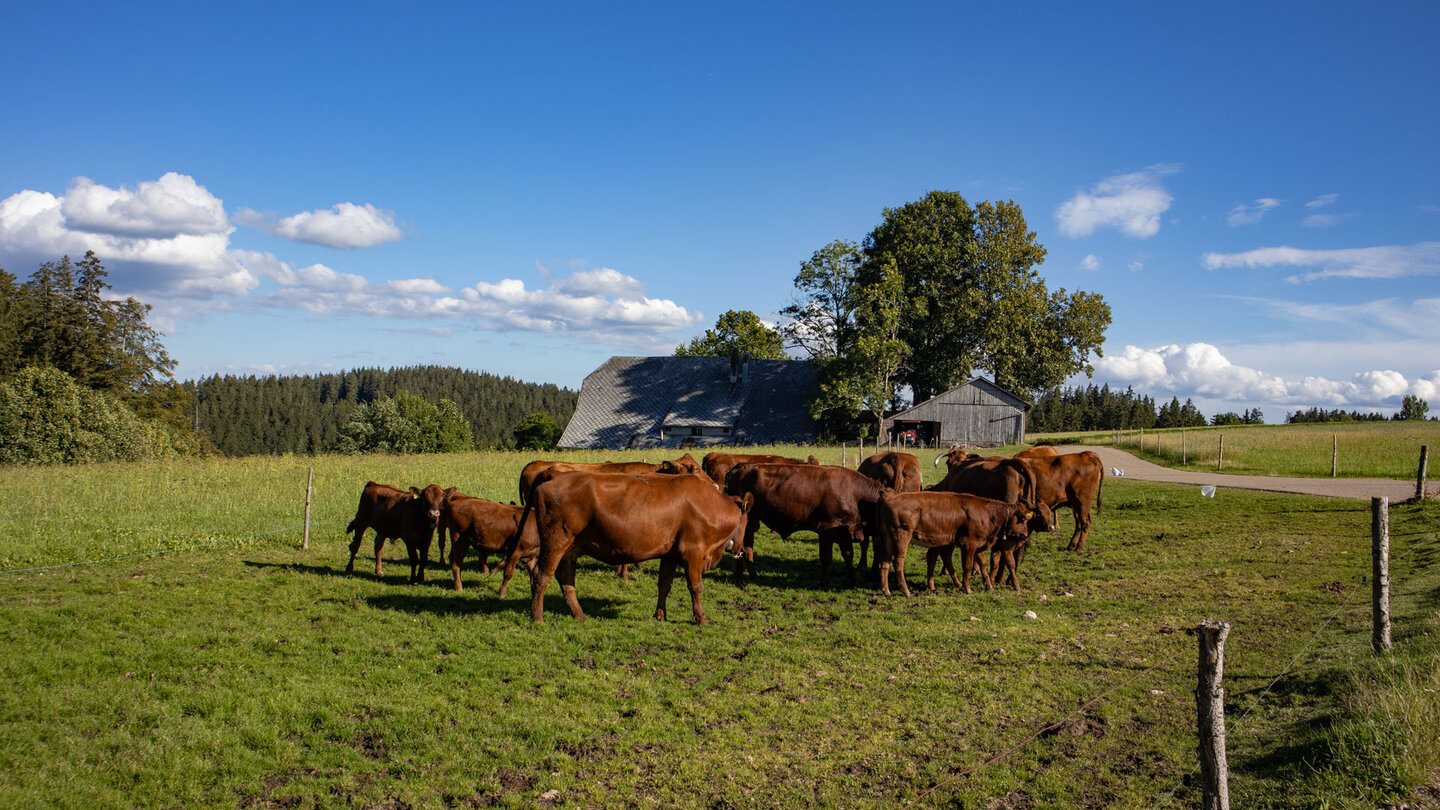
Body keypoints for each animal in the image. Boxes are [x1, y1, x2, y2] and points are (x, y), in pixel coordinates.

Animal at [529, 469, 754, 619]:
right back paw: (537, 617)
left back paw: (579, 615)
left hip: (569, 549)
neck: (710, 505)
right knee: (541, 576)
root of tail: (556, 475)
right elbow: (695, 586)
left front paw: (660, 615)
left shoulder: (670, 554)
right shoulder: (693, 552)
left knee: (566, 580)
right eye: (746, 523)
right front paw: (700, 618)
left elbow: (664, 584)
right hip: (555, 544)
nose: (740, 549)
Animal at [725, 458, 881, 582]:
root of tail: (741, 466)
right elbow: (826, 558)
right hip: (749, 522)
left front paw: (852, 580)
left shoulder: (845, 532)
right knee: (747, 547)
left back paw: (741, 574)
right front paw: (823, 582)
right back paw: (752, 576)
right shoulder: (826, 531)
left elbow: (848, 556)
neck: (855, 494)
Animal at [869, 484, 1054, 593]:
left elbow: (983, 564)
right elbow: (967, 566)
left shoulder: (979, 544)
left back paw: (886, 590)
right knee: (898, 561)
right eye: (1023, 518)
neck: (988, 514)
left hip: (887, 538)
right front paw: (967, 588)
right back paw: (905, 591)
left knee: (885, 562)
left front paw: (989, 585)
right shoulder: (969, 544)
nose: (1024, 535)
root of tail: (889, 495)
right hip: (901, 537)